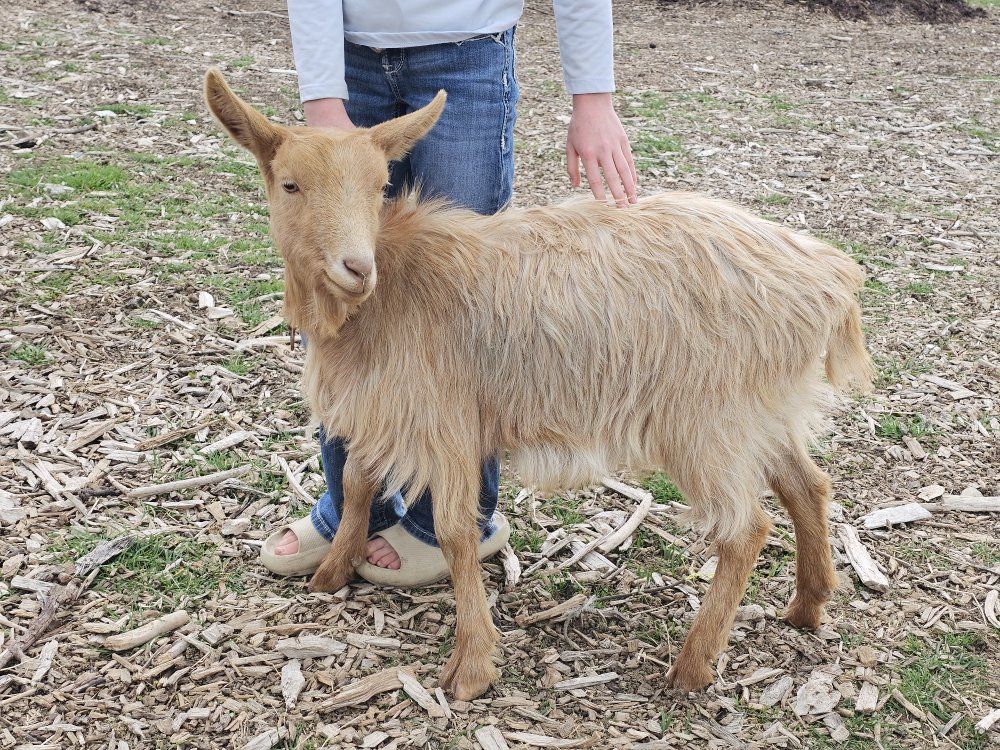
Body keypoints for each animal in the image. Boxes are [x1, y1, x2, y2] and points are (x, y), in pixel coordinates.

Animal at [205, 68, 872, 700]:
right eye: (291, 185)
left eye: (378, 186)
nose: (355, 268)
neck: (386, 293)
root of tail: (828, 275)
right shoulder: (387, 406)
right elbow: (359, 484)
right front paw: (333, 572)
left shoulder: (443, 419)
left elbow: (454, 533)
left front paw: (472, 666)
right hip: (759, 408)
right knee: (807, 484)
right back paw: (808, 604)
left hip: (705, 420)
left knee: (746, 528)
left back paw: (694, 664)